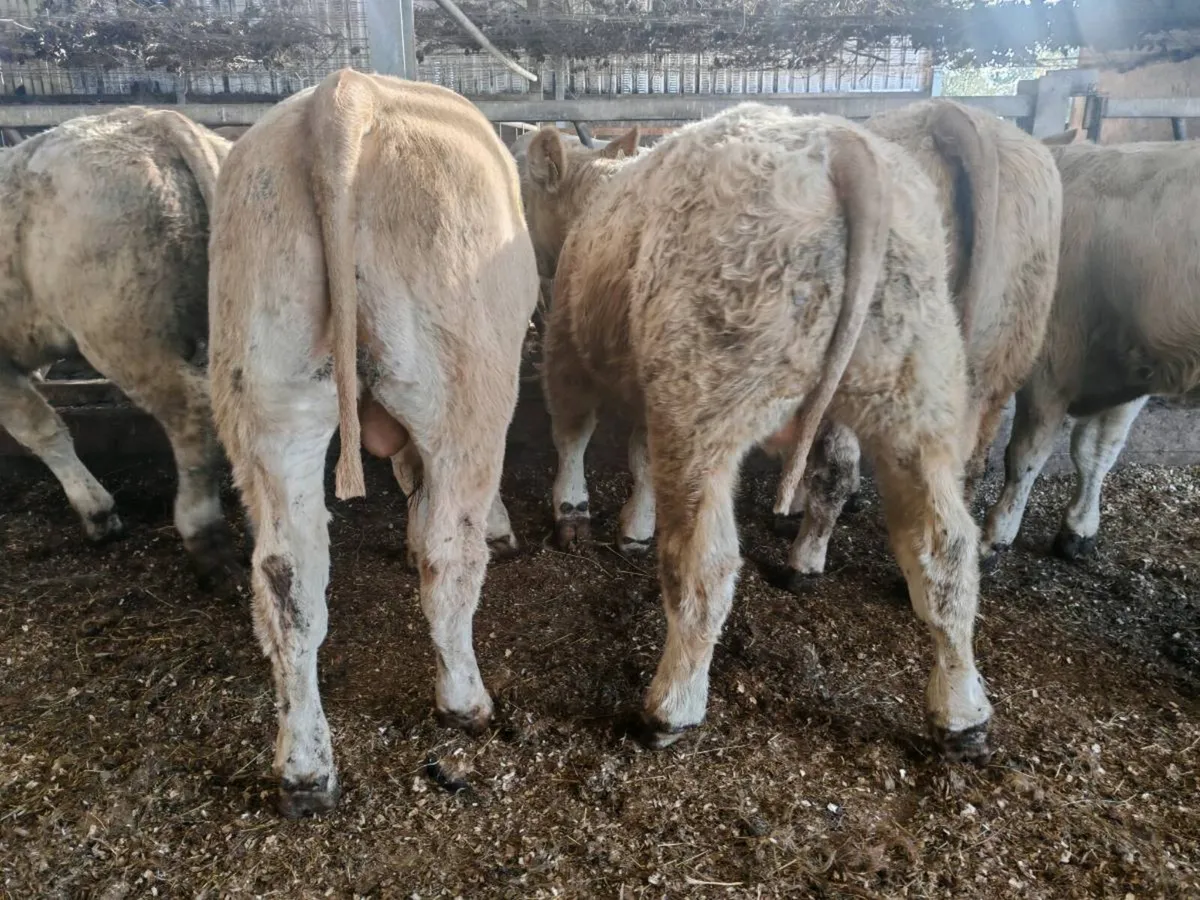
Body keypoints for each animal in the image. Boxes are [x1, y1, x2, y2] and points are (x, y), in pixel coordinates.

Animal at [0, 107, 237, 578]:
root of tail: (150, 119)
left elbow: (38, 429)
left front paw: (97, 514)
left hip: (121, 333)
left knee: (192, 412)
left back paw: (202, 531)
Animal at [208, 69, 539, 817]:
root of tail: (345, 96)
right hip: (464, 387)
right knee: (452, 552)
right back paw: (464, 700)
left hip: (269, 397)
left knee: (287, 578)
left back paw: (305, 771)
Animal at [522, 103, 993, 762]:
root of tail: (842, 145)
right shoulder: (649, 385)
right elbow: (639, 459)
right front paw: (635, 524)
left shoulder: (569, 347)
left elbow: (572, 434)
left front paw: (572, 513)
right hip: (914, 400)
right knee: (943, 549)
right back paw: (962, 715)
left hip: (702, 401)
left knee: (705, 564)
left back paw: (671, 707)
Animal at [982, 138, 1200, 563]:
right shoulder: (1129, 369)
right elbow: (1095, 451)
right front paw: (1078, 528)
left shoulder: (1052, 363)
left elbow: (1029, 454)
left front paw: (996, 534)